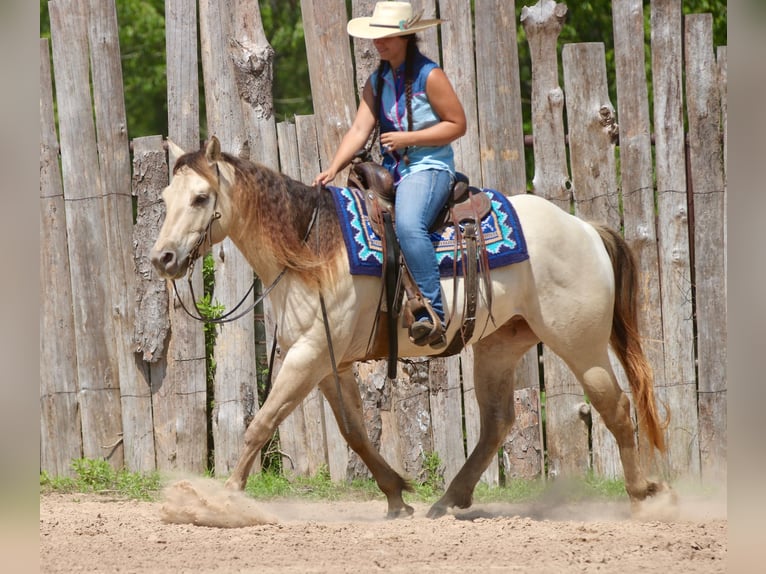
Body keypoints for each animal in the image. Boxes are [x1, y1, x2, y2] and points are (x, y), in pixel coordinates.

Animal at [150, 136, 671, 519]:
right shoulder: (329, 363)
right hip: (499, 344)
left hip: (580, 342)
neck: (312, 250)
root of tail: (584, 229)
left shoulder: (308, 356)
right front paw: (397, 495)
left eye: (201, 197)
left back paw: (643, 496)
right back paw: (449, 500)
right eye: (165, 198)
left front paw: (222, 500)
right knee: (497, 422)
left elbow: (260, 425)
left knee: (615, 407)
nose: (163, 258)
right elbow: (355, 433)